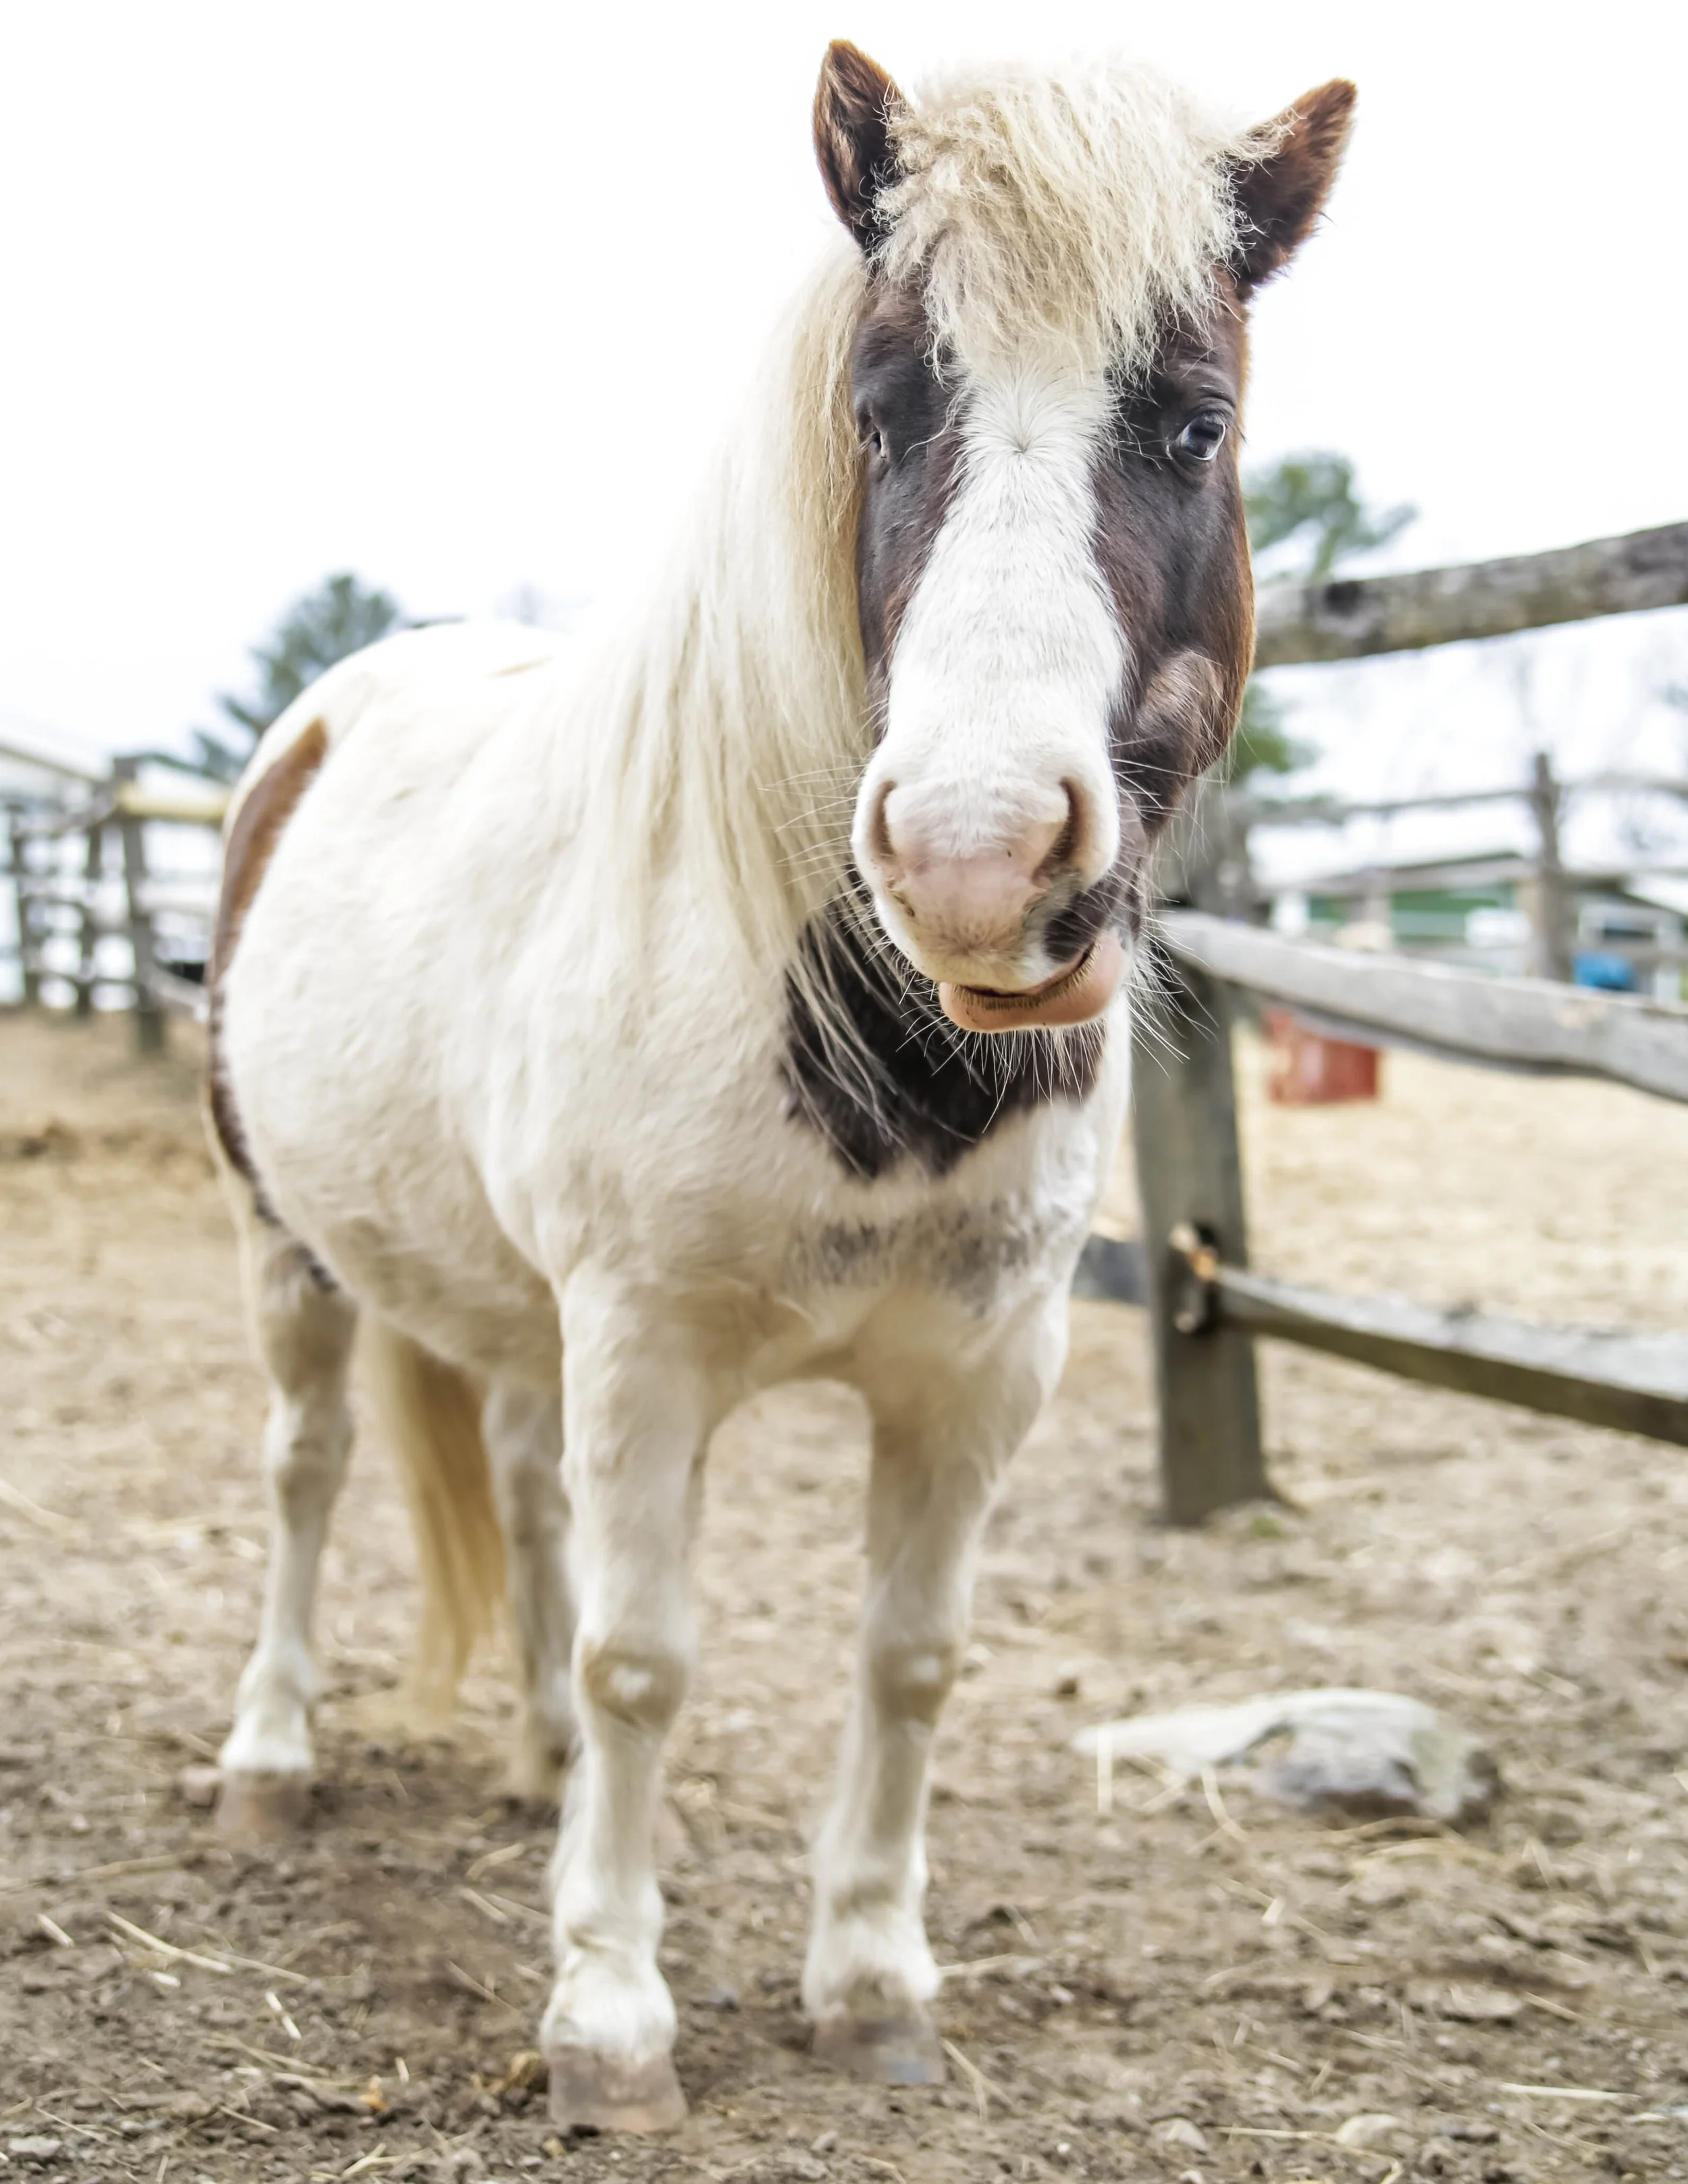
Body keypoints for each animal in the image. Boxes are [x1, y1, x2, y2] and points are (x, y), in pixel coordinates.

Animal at [204, 41, 1354, 2131]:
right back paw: (268, 1761)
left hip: (513, 1309)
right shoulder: (646, 1343)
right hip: (284, 1247)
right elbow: (647, 1660)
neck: (867, 1043)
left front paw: (871, 1984)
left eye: (1194, 423)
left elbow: (908, 1659)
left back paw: (532, 1771)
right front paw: (608, 2019)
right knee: (307, 1472)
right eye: (882, 414)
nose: (978, 857)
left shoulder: (977, 1375)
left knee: (520, 1487)